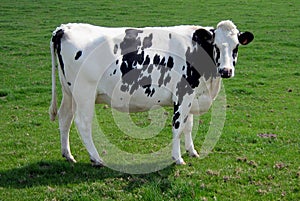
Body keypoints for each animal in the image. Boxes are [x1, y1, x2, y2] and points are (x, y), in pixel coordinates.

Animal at [48, 20, 253, 166]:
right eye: (216, 46)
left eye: (236, 47)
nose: (226, 71)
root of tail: (65, 28)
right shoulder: (183, 94)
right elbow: (178, 127)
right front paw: (178, 158)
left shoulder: (190, 97)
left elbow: (189, 125)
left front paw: (192, 151)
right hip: (85, 93)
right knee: (82, 123)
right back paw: (96, 159)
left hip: (69, 92)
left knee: (65, 118)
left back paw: (68, 154)